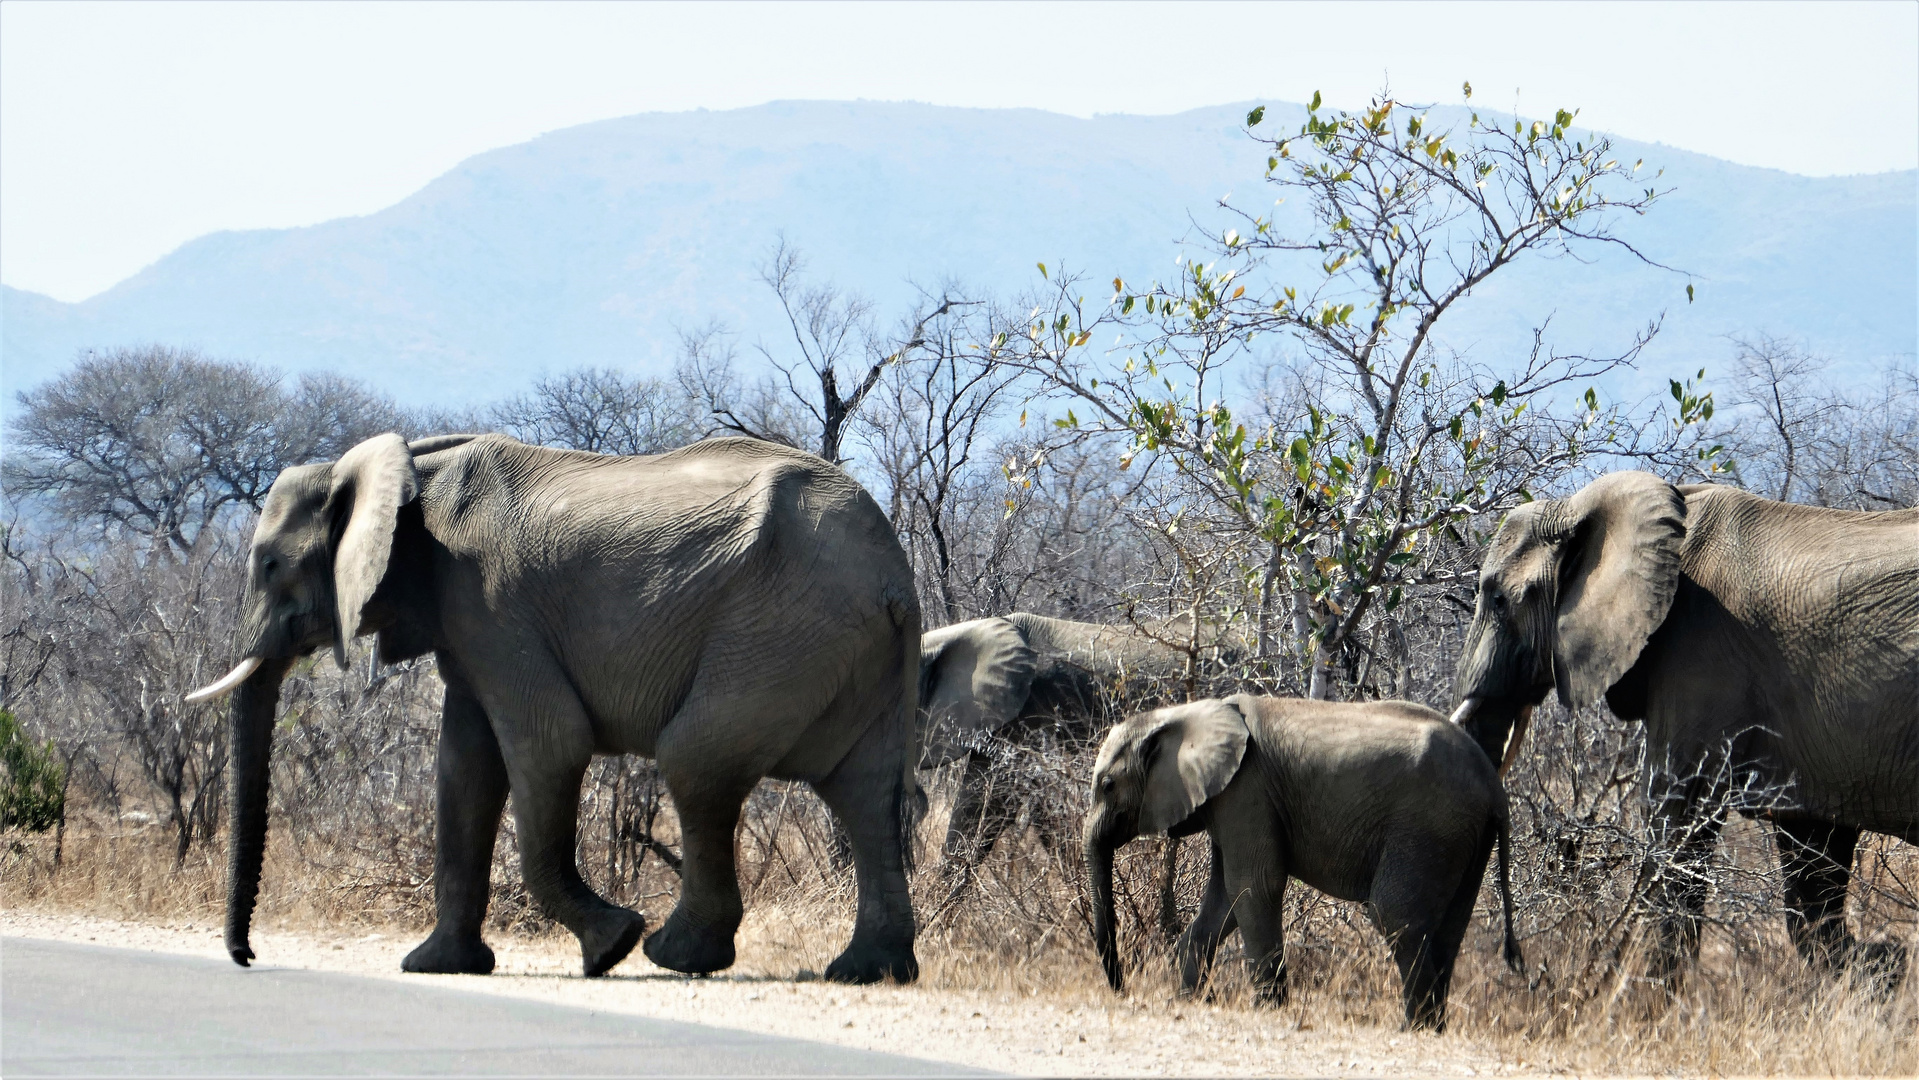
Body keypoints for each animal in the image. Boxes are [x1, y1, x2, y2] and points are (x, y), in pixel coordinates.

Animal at [187, 435, 921, 982]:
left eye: (270, 564)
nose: (247, 956)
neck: (407, 468)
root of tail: (895, 573)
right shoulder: (464, 623)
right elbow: (463, 771)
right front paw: (436, 966)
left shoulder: (491, 605)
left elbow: (547, 745)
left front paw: (611, 946)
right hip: (847, 647)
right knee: (866, 792)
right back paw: (866, 972)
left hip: (781, 628)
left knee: (696, 760)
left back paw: (674, 955)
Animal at [1082, 694, 1512, 1028]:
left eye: (1107, 785)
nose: (1122, 989)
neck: (1182, 714)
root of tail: (1494, 786)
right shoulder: (1227, 799)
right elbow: (1225, 899)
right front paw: (1189, 1000)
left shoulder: (1246, 789)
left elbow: (1254, 885)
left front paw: (1267, 1011)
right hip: (1462, 835)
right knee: (1450, 927)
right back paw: (1434, 1029)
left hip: (1428, 826)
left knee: (1395, 914)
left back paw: (1412, 1030)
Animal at [1458, 473, 1911, 989]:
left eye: (1496, 599)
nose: (1518, 961)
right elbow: (1812, 854)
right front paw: (1885, 967)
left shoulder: (1700, 655)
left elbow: (1675, 811)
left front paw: (1641, 999)